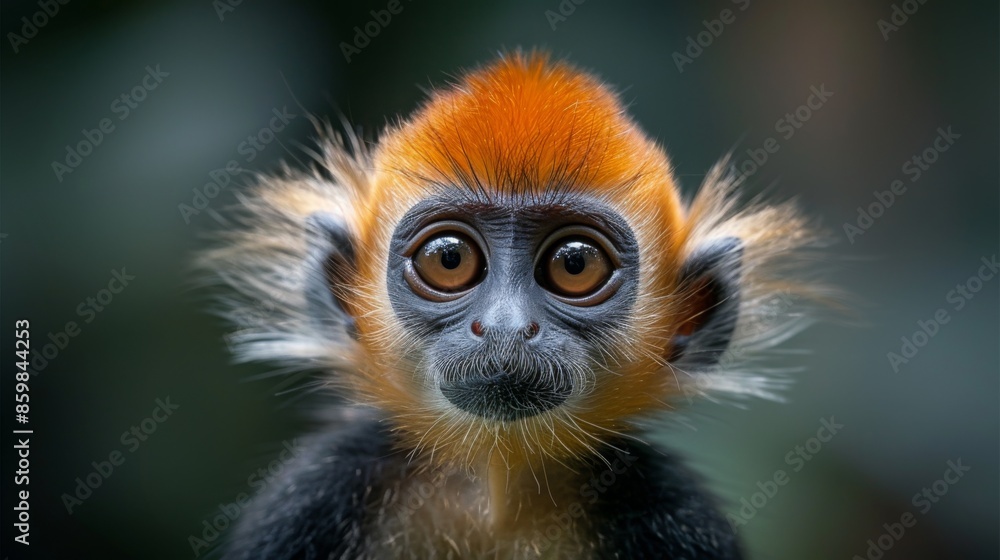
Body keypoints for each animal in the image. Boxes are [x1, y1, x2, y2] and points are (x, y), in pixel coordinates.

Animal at [203, 51, 825, 559]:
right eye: (449, 258)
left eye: (575, 265)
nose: (506, 327)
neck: (496, 493)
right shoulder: (317, 492)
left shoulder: (674, 513)